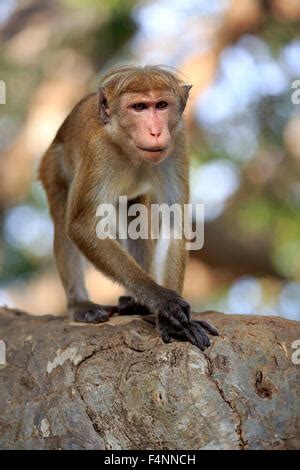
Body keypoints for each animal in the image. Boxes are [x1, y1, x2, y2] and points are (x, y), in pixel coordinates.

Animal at [39, 64, 218, 348]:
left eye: (161, 105)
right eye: (139, 107)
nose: (156, 131)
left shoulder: (178, 142)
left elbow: (172, 223)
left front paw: (172, 318)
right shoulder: (97, 151)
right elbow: (81, 226)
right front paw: (161, 300)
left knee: (134, 216)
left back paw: (135, 303)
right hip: (52, 167)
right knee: (63, 220)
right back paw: (80, 304)